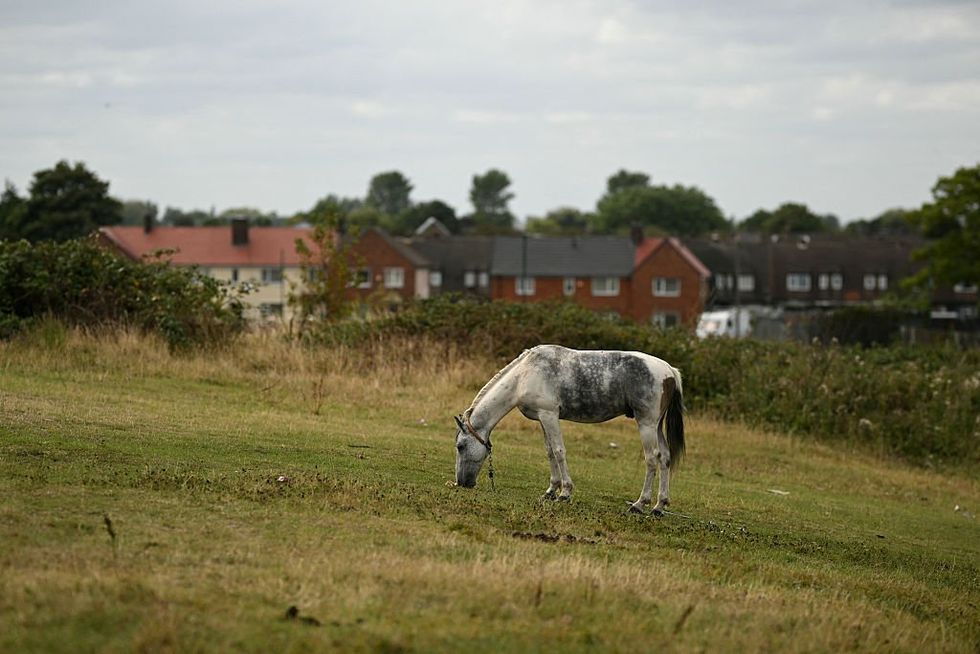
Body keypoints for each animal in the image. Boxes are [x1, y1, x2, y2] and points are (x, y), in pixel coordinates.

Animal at [453, 344, 685, 516]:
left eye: (460, 446)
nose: (462, 483)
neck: (524, 375)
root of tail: (669, 371)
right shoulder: (542, 418)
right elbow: (549, 453)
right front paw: (550, 491)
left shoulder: (549, 415)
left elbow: (559, 452)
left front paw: (564, 493)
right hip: (656, 426)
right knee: (665, 458)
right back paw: (659, 506)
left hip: (646, 424)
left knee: (652, 459)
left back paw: (639, 504)